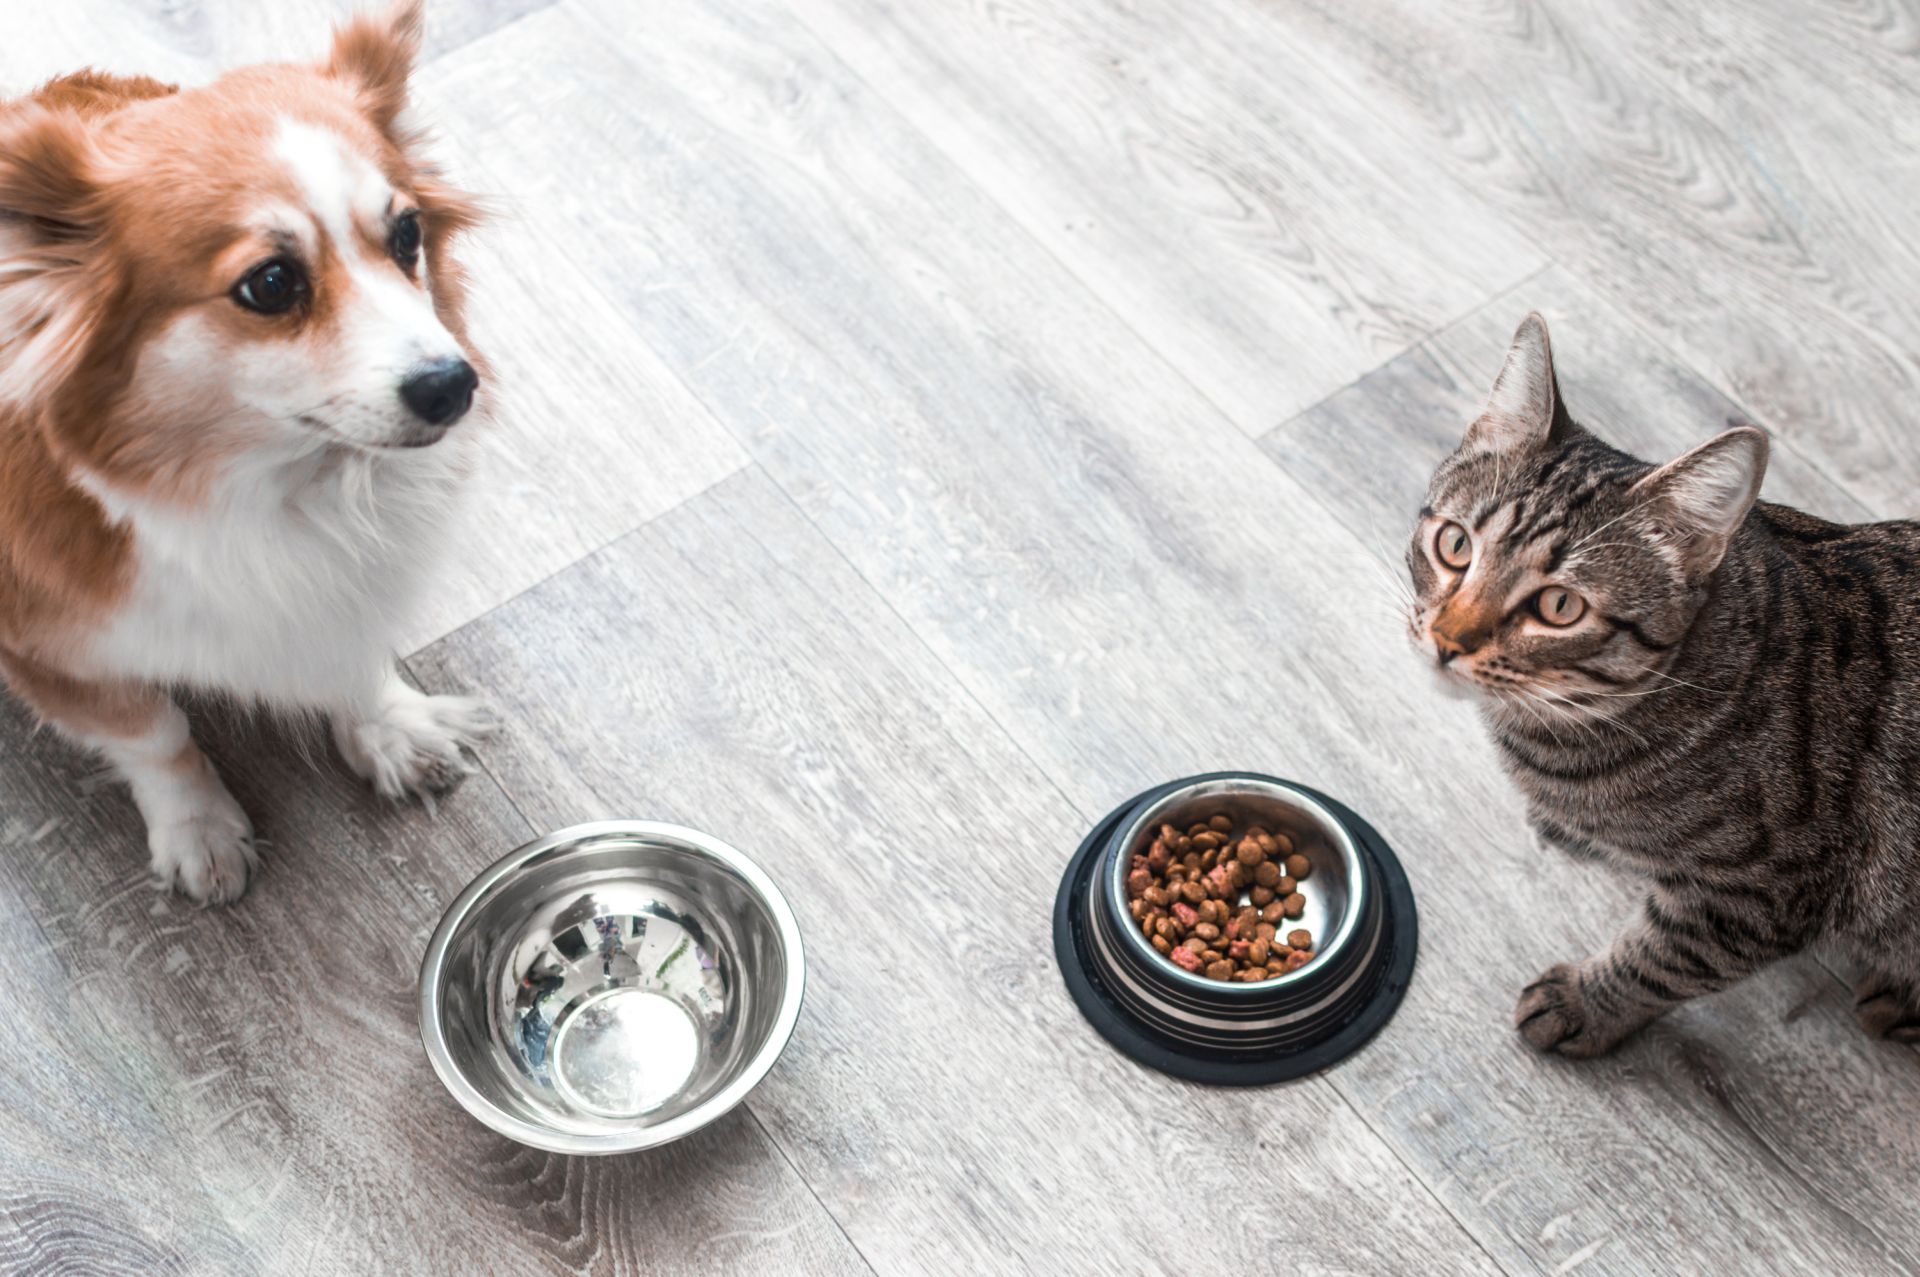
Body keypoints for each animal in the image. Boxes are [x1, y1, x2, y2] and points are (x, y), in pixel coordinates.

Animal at [1, 7, 495, 906]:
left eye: (407, 234)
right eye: (271, 283)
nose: (454, 384)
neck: (275, 491)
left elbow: (351, 653)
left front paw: (390, 727)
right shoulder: (50, 652)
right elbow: (153, 731)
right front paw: (199, 826)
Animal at [1413, 316, 1920, 1052]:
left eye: (1559, 607)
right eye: (1454, 545)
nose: (1448, 641)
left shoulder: (1758, 894)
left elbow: (1657, 961)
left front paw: (1583, 1004)